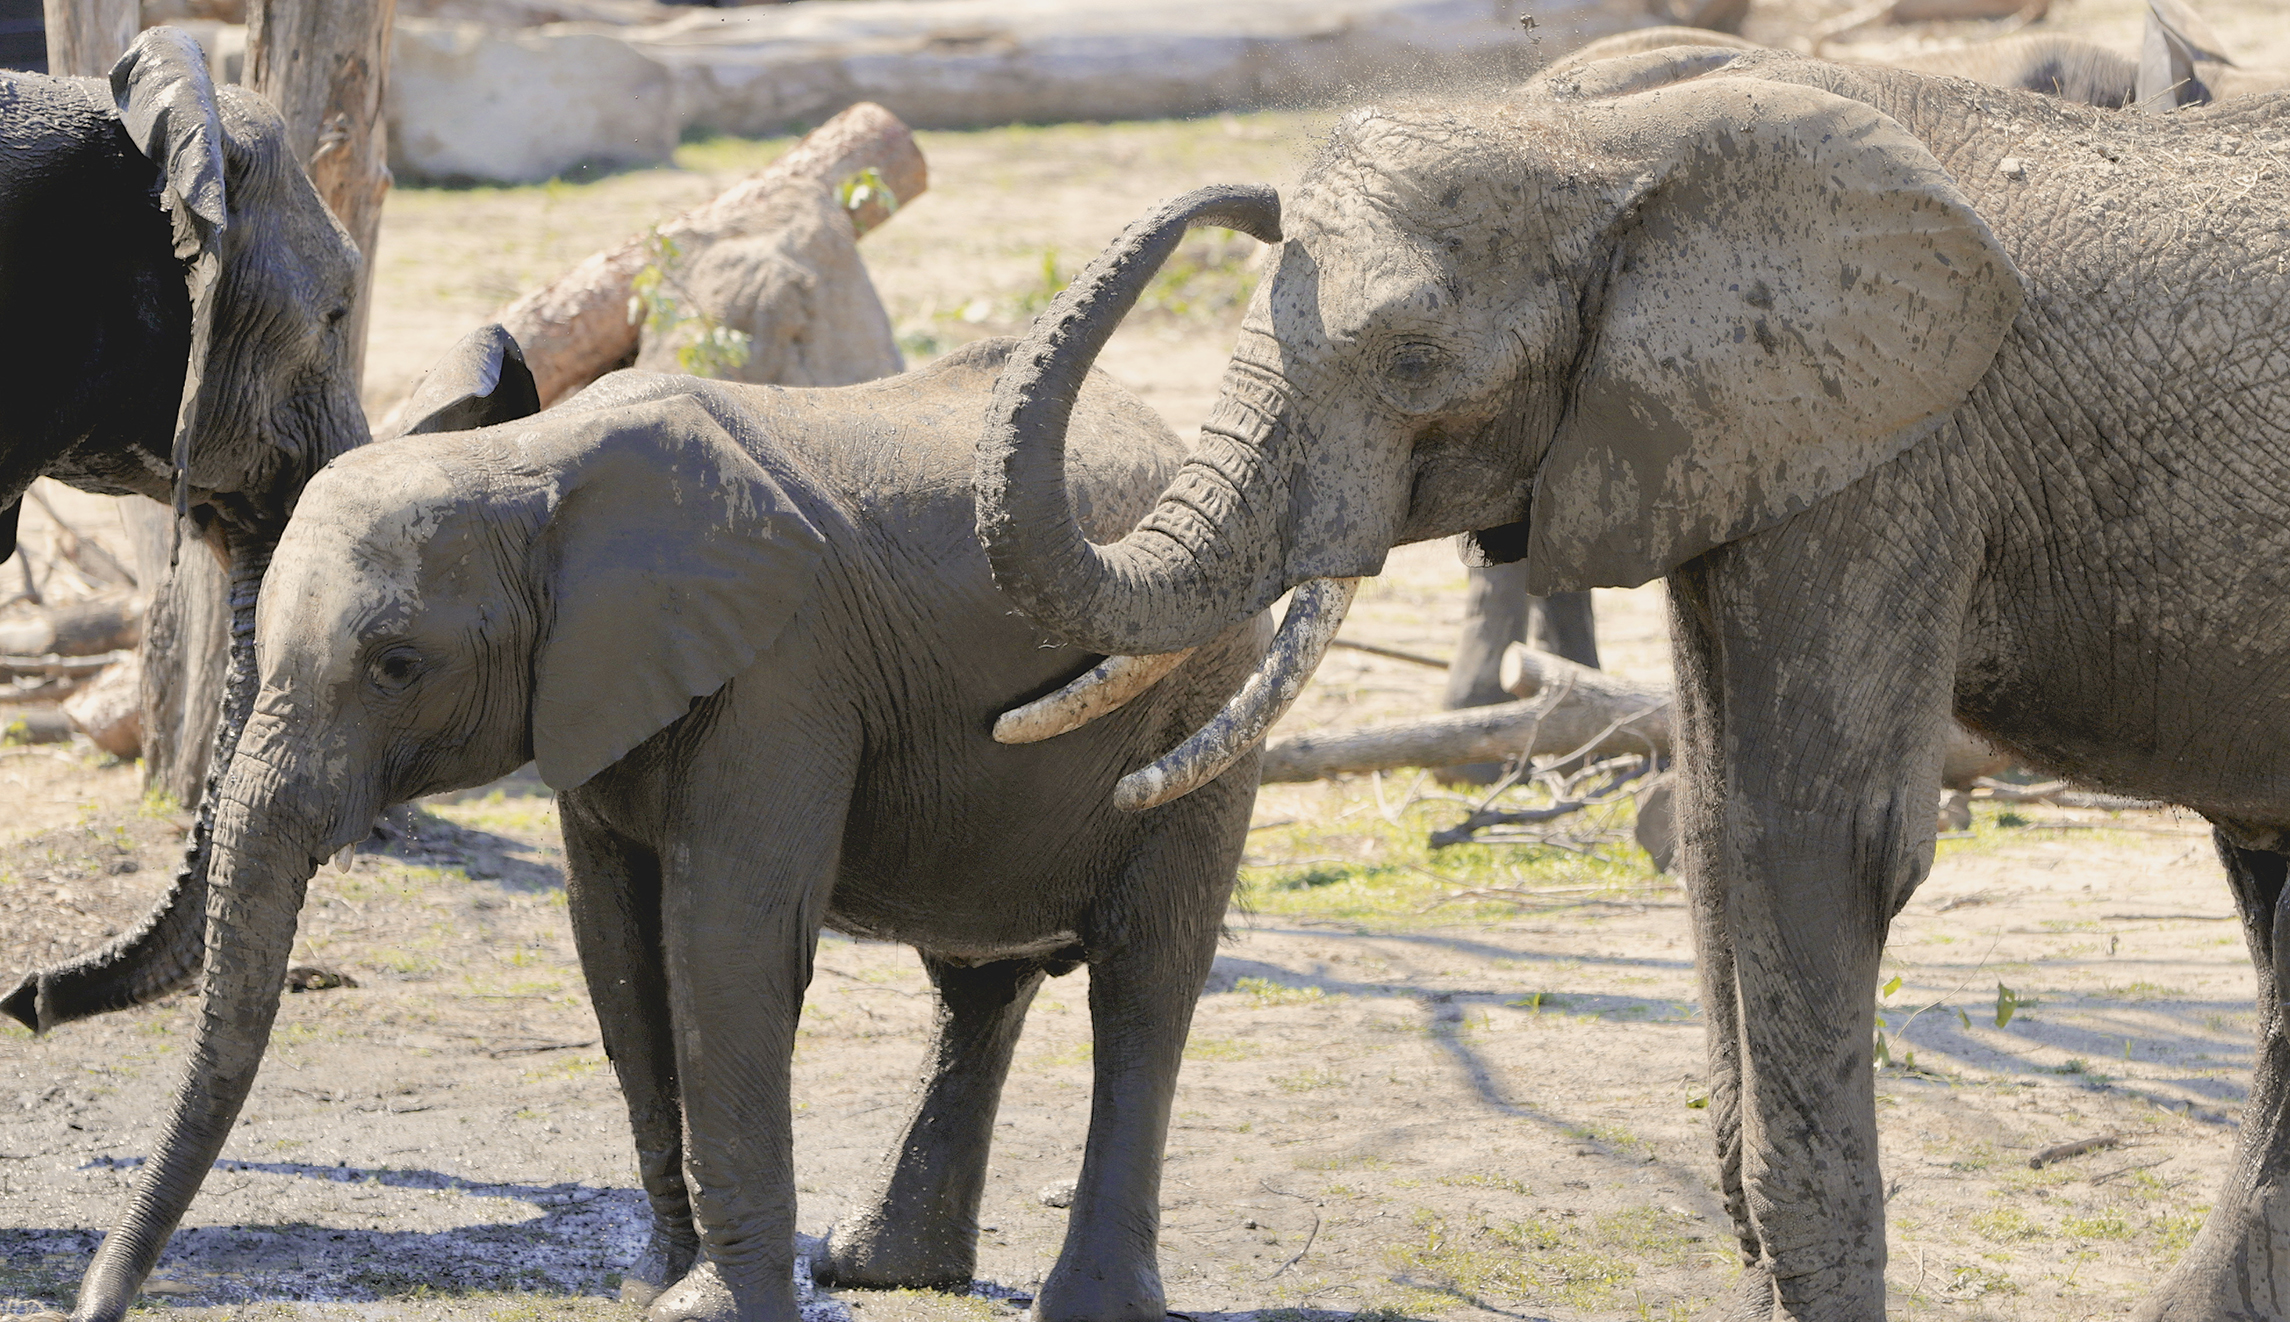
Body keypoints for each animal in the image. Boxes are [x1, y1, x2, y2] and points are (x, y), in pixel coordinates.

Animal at [59, 326, 1272, 1322]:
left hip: (1200, 699)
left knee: (1143, 982)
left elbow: (724, 940)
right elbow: (617, 949)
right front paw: (655, 1282)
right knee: (973, 985)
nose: (95, 1305)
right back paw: (879, 1270)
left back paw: (1086, 1300)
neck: (531, 470)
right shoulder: (599, 693)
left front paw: (704, 1306)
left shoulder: (783, 674)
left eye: (397, 665)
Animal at [973, 46, 2290, 1322]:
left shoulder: (1893, 453)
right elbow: (1711, 827)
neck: (1608, 144)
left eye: (1413, 358)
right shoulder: (1721, 446)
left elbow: (1820, 840)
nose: (1242, 196)